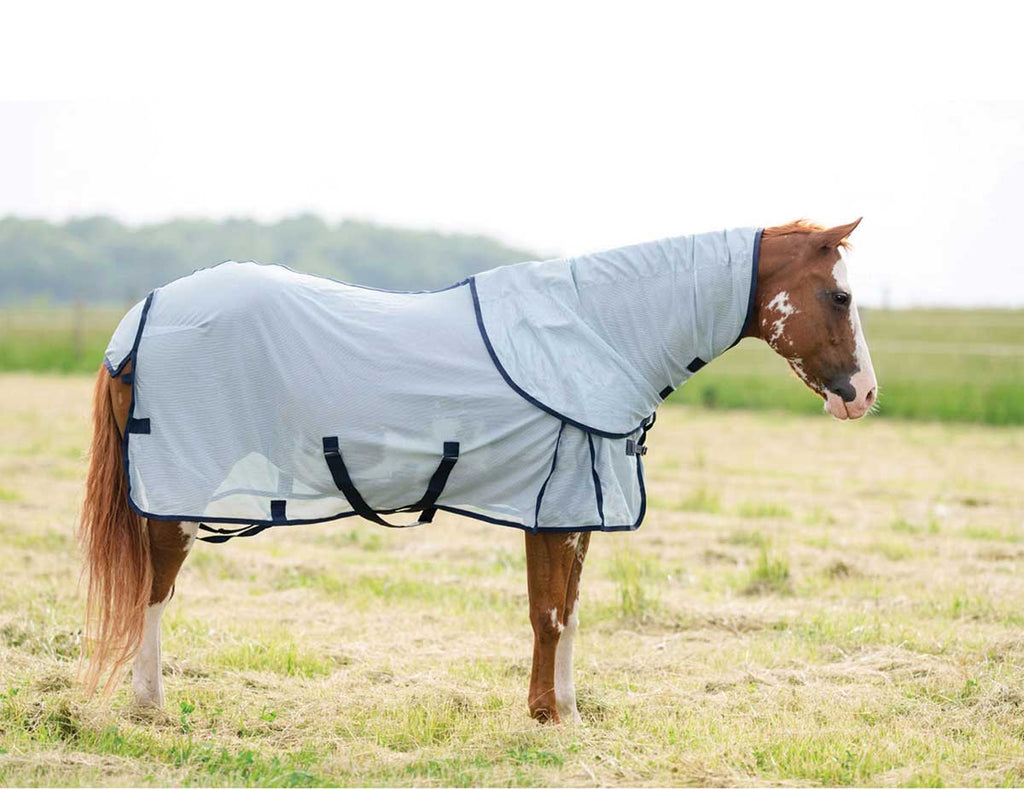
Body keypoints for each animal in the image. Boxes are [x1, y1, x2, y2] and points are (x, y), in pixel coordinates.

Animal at [78, 218, 877, 723]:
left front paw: (565, 711)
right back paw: (151, 706)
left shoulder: (577, 508)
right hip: (180, 486)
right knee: (154, 587)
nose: (864, 395)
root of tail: (138, 320)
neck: (596, 332)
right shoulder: (553, 507)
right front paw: (551, 717)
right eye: (839, 295)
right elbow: (548, 612)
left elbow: (570, 612)